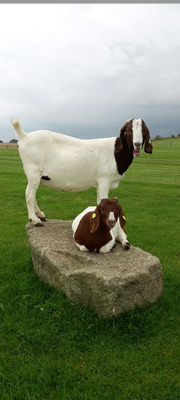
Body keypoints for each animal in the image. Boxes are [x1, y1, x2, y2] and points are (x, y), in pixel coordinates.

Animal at [10, 118, 153, 225]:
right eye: (128, 130)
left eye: (144, 130)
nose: (137, 145)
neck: (116, 153)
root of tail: (24, 136)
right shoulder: (104, 180)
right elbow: (102, 202)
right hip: (33, 171)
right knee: (29, 194)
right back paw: (35, 220)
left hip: (35, 175)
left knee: (32, 193)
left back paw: (40, 215)